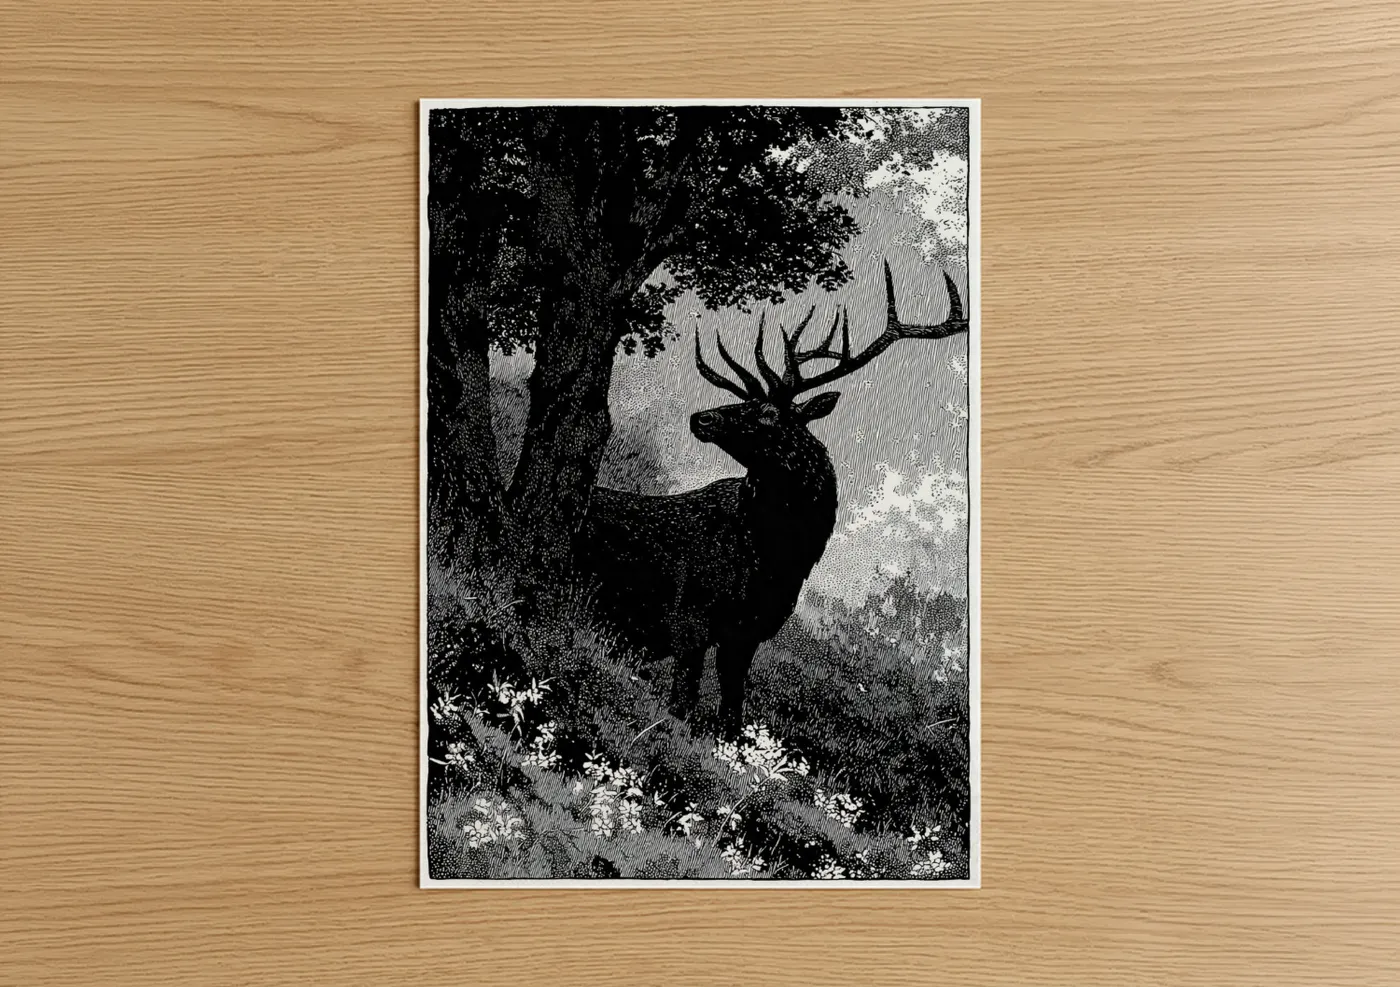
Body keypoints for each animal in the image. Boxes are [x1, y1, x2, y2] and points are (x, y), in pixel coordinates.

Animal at [581, 261, 968, 737]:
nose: (700, 418)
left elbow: (731, 713)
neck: (775, 558)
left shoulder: (748, 632)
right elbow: (682, 704)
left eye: (767, 413)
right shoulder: (689, 615)